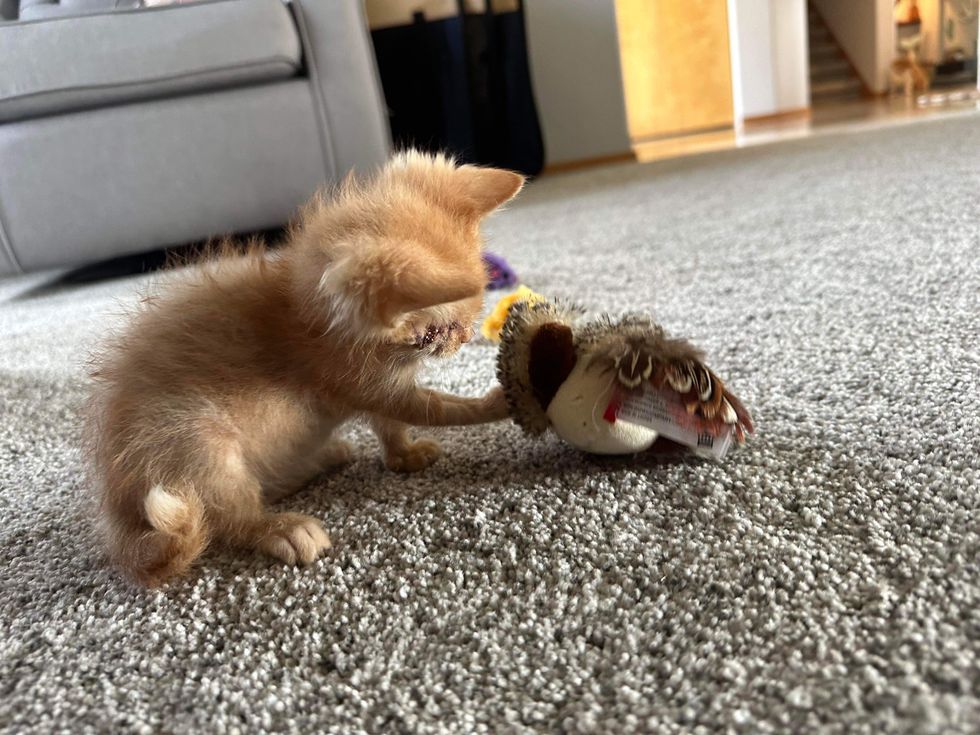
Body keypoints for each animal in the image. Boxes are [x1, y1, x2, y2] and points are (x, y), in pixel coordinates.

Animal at [86, 152, 520, 588]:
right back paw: (279, 528)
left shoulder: (376, 387)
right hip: (194, 444)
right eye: (435, 332)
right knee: (228, 517)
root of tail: (121, 512)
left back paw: (325, 456)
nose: (464, 338)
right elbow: (437, 409)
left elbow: (390, 425)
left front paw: (404, 454)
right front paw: (499, 402)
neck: (302, 310)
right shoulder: (361, 381)